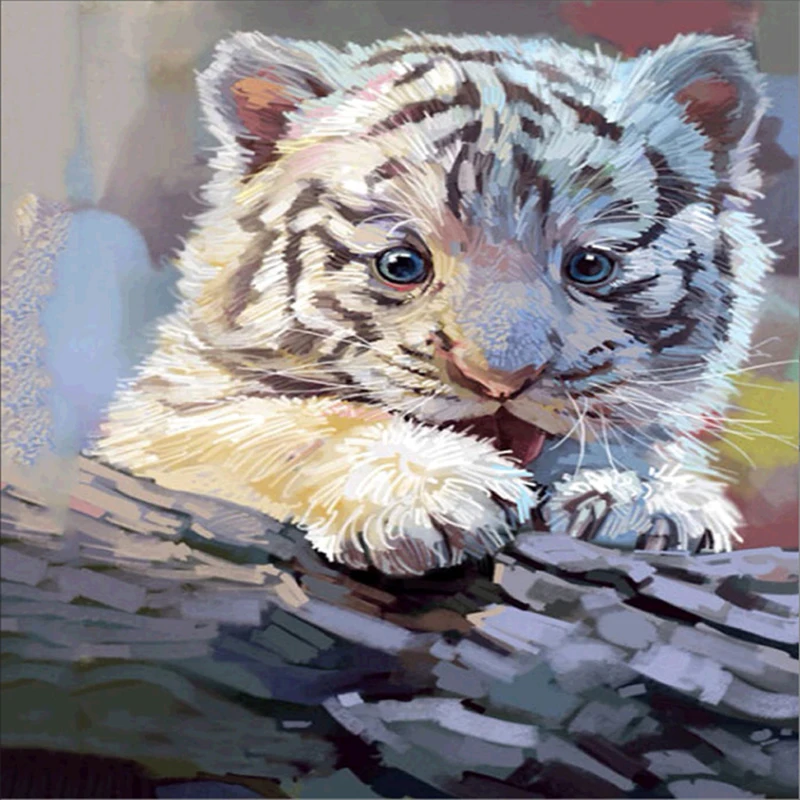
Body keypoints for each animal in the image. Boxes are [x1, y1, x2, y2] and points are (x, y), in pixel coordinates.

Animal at [93, 31, 775, 577]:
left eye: (590, 264)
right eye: (401, 264)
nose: (501, 380)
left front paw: (644, 498)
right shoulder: (160, 412)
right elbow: (284, 422)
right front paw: (430, 491)